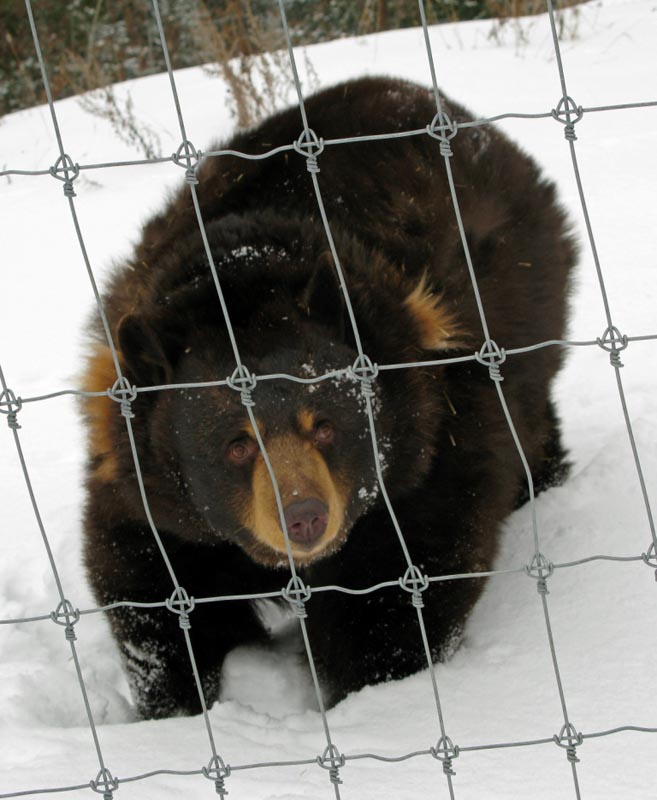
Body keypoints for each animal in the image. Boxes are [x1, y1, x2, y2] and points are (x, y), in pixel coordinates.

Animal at [82, 76, 575, 719]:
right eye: (237, 444)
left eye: (325, 424)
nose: (304, 516)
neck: (245, 267)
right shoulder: (137, 468)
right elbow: (153, 582)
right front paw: (176, 705)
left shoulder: (431, 443)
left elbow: (398, 585)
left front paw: (374, 691)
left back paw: (540, 480)